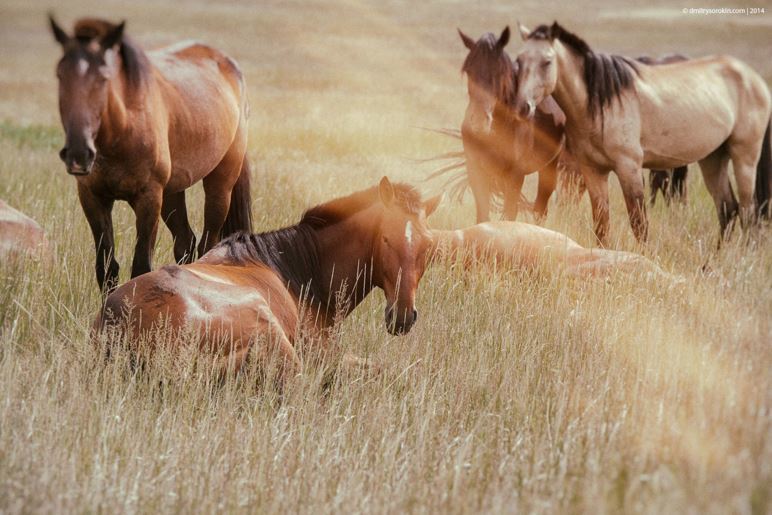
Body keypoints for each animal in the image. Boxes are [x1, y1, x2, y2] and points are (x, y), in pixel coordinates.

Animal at [49, 18, 253, 292]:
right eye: (60, 75)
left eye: (103, 78)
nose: (78, 153)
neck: (123, 130)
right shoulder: (93, 198)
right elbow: (107, 269)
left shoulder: (148, 199)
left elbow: (141, 268)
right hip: (172, 193)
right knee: (186, 244)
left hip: (220, 184)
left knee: (206, 244)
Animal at [96, 179, 440, 390]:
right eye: (386, 239)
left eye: (427, 247)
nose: (402, 316)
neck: (298, 270)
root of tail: (117, 320)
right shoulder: (325, 354)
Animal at [456, 26, 576, 224]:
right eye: (468, 71)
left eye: (499, 73)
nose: (480, 121)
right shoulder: (476, 171)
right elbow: (483, 215)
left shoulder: (516, 176)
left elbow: (509, 215)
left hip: (549, 168)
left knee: (540, 209)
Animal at [510, 21, 768, 244]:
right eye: (519, 60)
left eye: (547, 61)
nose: (522, 107)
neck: (602, 104)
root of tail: (752, 78)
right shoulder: (593, 171)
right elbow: (601, 225)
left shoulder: (629, 168)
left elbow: (639, 224)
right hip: (713, 158)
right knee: (727, 209)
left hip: (744, 158)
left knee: (748, 213)